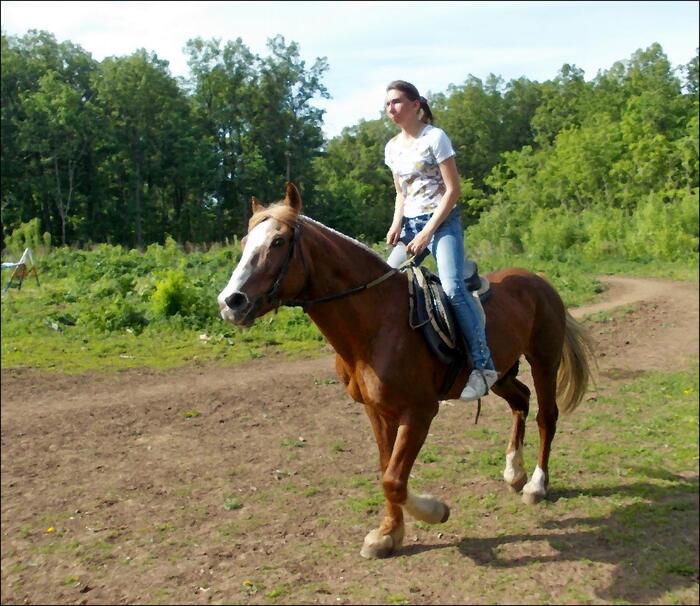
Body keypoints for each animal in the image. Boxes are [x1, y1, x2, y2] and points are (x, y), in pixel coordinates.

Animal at [216, 184, 592, 560]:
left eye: (278, 241)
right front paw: (388, 534)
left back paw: (536, 484)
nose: (230, 302)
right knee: (521, 401)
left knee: (546, 415)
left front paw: (435, 511)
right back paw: (514, 472)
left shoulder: (420, 411)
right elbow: (387, 469)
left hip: (544, 359)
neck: (377, 323)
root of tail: (538, 281)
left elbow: (395, 480)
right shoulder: (377, 410)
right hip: (500, 373)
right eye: (245, 241)